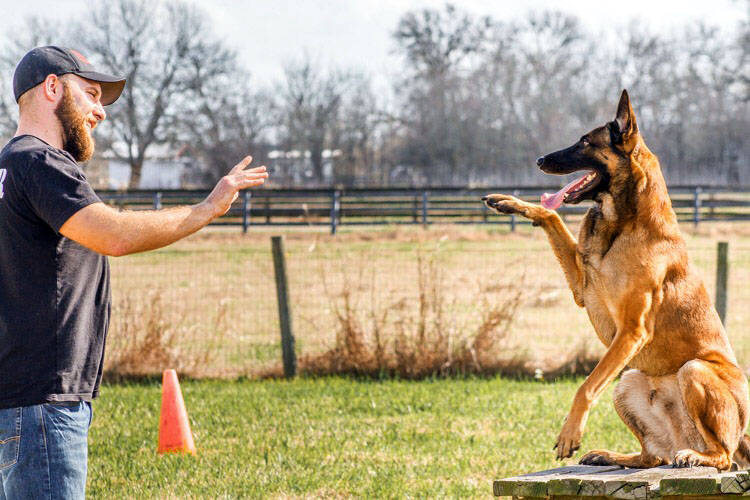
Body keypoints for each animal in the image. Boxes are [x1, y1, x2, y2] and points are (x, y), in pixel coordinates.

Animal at [484, 91, 748, 472]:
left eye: (584, 142)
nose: (539, 159)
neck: (624, 223)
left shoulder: (631, 331)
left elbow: (586, 385)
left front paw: (570, 432)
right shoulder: (583, 290)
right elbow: (551, 214)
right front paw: (508, 202)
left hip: (693, 371)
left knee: (724, 458)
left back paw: (696, 456)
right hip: (628, 381)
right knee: (652, 456)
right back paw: (614, 455)